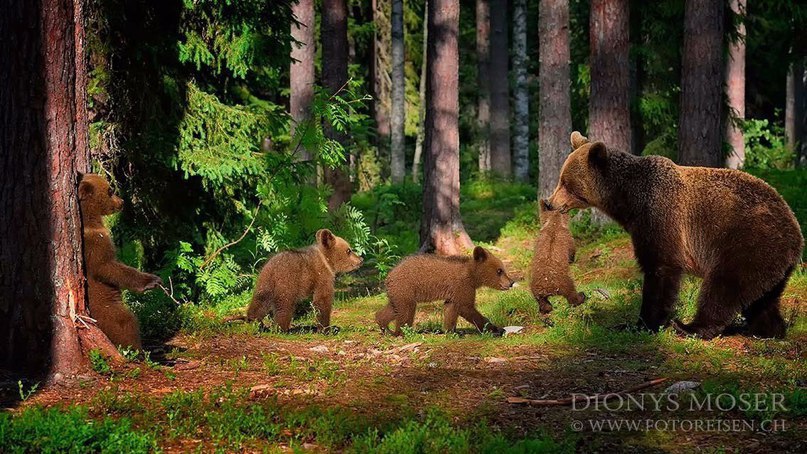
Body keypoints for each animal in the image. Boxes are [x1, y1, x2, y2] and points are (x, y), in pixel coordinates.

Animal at [548, 131, 804, 336]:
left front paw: (643, 324)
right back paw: (768, 329)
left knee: (724, 286)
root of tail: (796, 230)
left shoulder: (659, 214)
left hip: (748, 241)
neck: (627, 201)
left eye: (567, 183)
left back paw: (691, 327)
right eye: (561, 179)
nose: (550, 203)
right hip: (770, 260)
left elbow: (661, 267)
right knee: (762, 299)